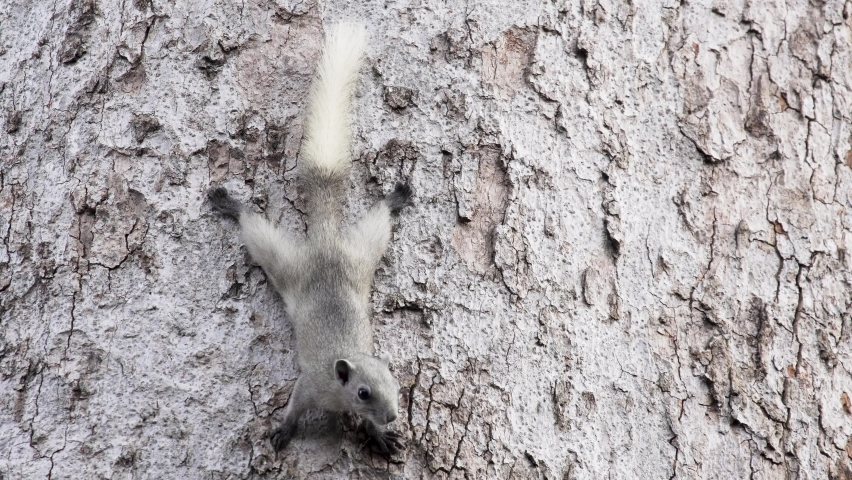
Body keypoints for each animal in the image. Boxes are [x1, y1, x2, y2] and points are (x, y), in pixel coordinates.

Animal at [207, 23, 410, 454]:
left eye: (396, 385)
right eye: (364, 393)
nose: (391, 416)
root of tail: (326, 241)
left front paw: (380, 436)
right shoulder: (310, 384)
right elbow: (295, 407)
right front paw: (284, 430)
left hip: (364, 252)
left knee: (381, 216)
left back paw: (396, 197)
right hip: (285, 261)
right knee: (252, 225)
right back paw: (230, 205)